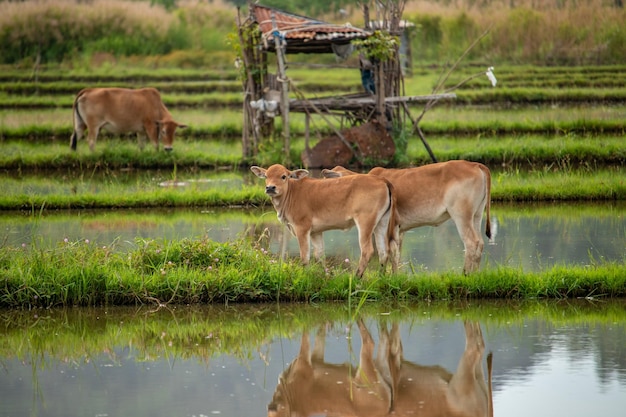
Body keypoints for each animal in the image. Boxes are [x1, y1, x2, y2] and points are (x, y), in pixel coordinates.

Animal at [249, 162, 394, 276]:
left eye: (283, 176)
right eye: (266, 176)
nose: (270, 188)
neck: (292, 193)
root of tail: (382, 180)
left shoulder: (302, 228)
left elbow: (305, 256)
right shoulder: (316, 232)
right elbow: (319, 255)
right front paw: (327, 275)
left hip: (365, 222)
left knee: (368, 251)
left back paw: (356, 278)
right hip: (382, 222)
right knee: (383, 251)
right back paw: (380, 277)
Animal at [322, 160, 492, 272]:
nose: (324, 171)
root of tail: (476, 165)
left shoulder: (389, 228)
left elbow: (389, 252)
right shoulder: (399, 229)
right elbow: (396, 254)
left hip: (461, 216)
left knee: (471, 243)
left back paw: (465, 274)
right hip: (476, 215)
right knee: (480, 243)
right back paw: (474, 275)